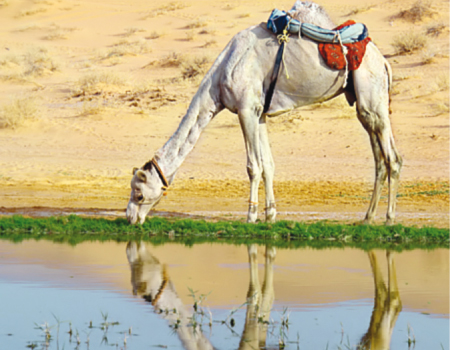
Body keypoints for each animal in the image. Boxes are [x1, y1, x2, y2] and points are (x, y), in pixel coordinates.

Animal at [125, 1, 400, 226]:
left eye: (138, 193)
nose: (129, 217)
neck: (220, 77)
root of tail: (384, 61)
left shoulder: (245, 109)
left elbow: (253, 166)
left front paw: (251, 215)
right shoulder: (260, 114)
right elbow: (268, 164)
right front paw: (271, 214)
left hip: (371, 95)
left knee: (393, 159)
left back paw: (389, 219)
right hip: (364, 104)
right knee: (380, 159)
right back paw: (367, 218)